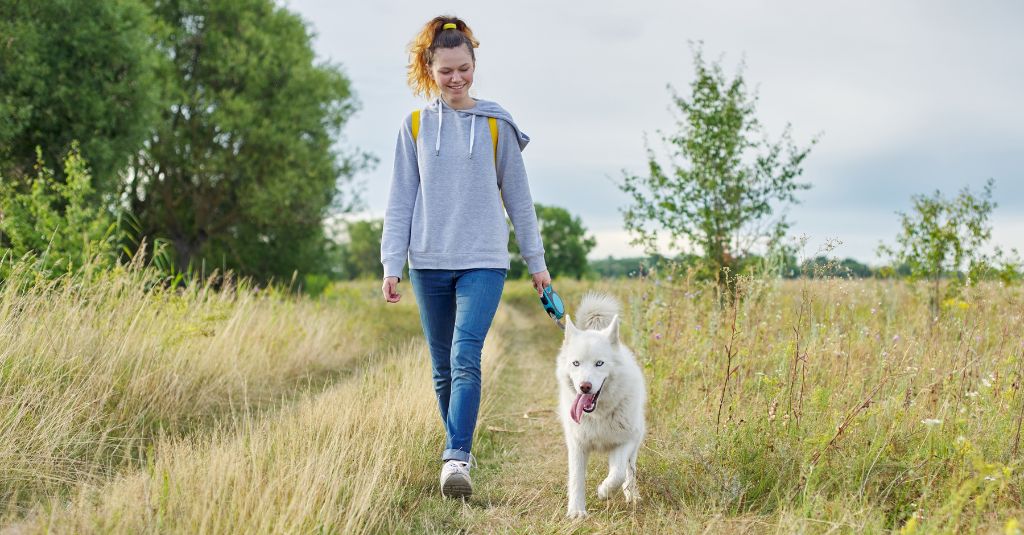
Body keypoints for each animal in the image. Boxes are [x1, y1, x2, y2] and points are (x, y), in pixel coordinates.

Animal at [557, 291, 643, 516]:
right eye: (576, 363)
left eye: (599, 363)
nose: (584, 387)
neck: (597, 415)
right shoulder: (577, 445)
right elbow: (576, 479)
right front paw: (577, 511)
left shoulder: (625, 441)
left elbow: (618, 473)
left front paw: (604, 491)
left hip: (636, 440)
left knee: (629, 471)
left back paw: (632, 495)